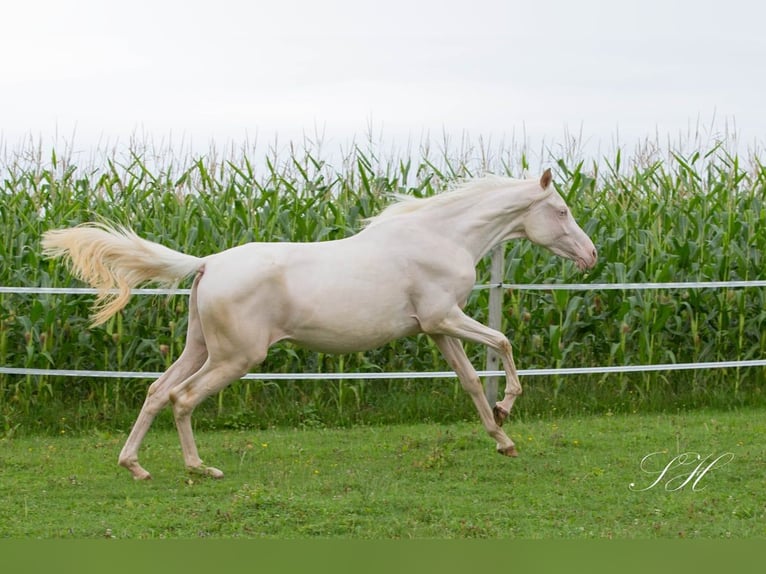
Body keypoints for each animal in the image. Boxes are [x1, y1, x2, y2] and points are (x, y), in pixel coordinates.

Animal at [42, 171, 600, 482]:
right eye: (561, 210)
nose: (592, 255)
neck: (442, 236)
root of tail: (207, 263)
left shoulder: (437, 328)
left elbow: (468, 382)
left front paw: (502, 438)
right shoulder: (446, 317)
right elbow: (503, 341)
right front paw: (507, 410)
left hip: (199, 348)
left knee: (157, 391)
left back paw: (135, 466)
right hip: (235, 357)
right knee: (182, 398)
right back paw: (201, 468)